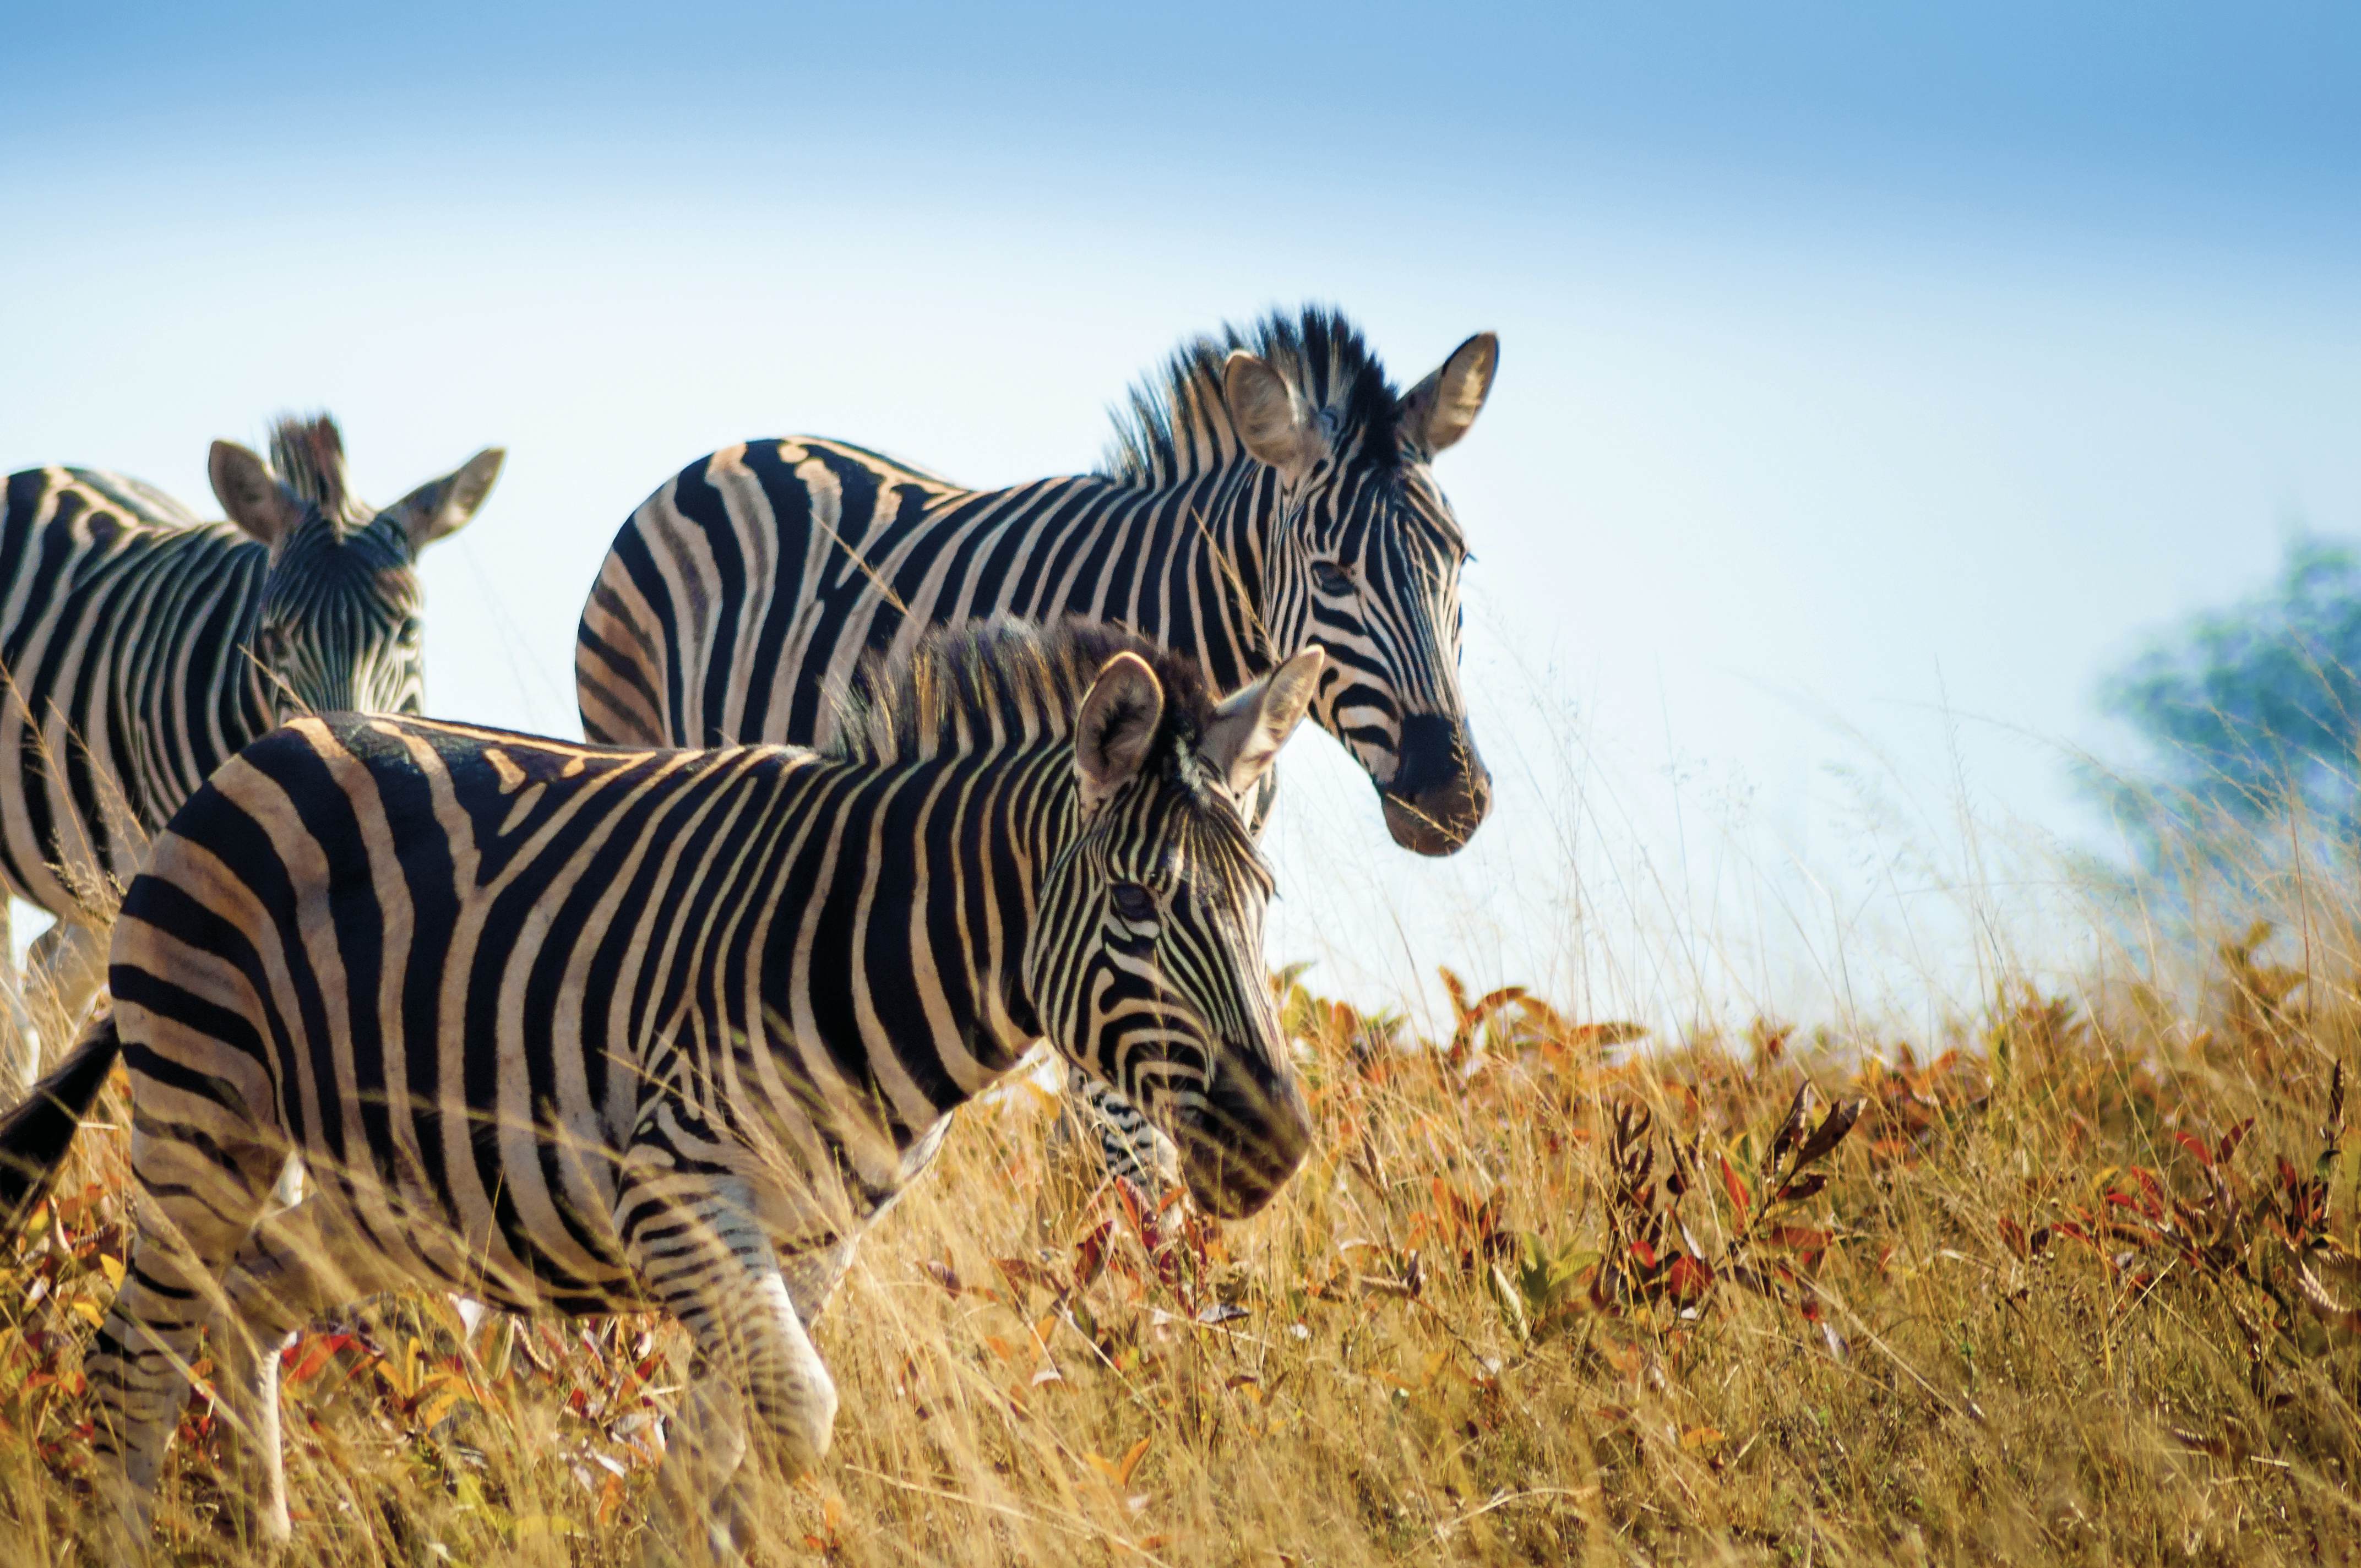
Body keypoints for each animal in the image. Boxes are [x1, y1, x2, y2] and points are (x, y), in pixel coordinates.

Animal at [0, 614, 1331, 1558]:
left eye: (1264, 899)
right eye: (1138, 902)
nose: (1274, 1141)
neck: (873, 945)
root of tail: (267, 743)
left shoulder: (814, 1238)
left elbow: (714, 1463)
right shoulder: (676, 1188)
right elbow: (794, 1420)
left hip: (403, 1186)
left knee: (252, 1299)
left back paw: (264, 1537)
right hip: (206, 1101)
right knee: (136, 1354)